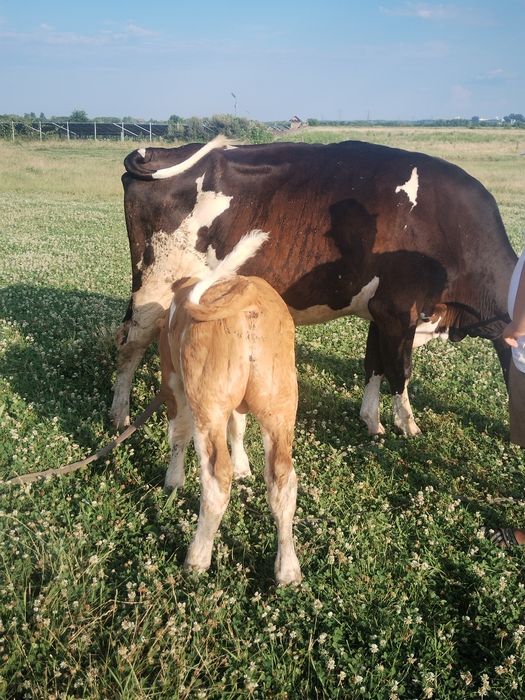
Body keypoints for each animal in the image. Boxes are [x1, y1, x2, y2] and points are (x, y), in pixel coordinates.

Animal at [111, 135, 517, 437]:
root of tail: (162, 152)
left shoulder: (380, 311)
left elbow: (374, 364)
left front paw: (372, 422)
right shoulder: (400, 309)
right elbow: (400, 371)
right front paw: (408, 426)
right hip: (155, 286)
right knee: (130, 346)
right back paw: (119, 415)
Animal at [158, 230, 301, 584]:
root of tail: (247, 305)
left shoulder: (173, 381)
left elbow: (177, 434)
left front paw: (173, 480)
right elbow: (238, 427)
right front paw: (243, 467)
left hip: (206, 406)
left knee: (215, 478)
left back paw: (197, 557)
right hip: (280, 404)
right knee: (283, 480)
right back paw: (288, 569)